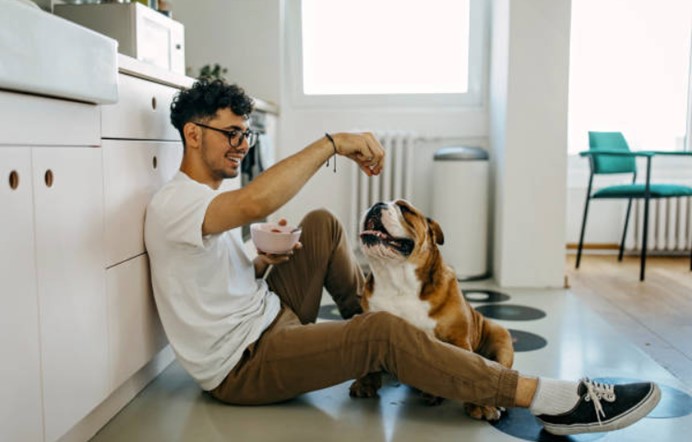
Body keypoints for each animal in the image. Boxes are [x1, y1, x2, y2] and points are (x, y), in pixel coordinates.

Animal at [352, 200, 512, 422]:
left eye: (405, 208)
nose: (376, 204)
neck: (398, 281)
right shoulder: (370, 324)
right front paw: (366, 383)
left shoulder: (458, 340)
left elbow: (473, 370)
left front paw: (480, 405)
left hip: (501, 337)